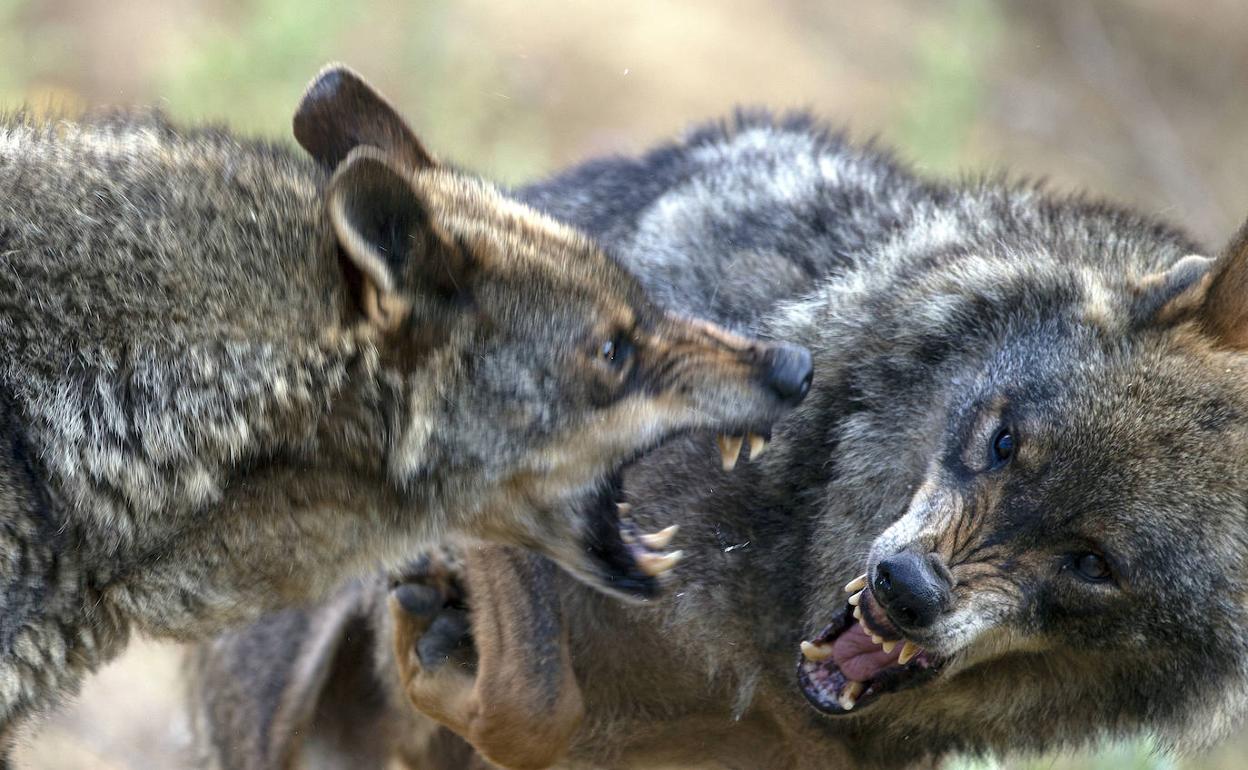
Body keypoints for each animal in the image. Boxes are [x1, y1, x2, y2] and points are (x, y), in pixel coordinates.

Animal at [189, 109, 1248, 768]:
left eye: (1093, 564)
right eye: (1001, 443)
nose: (906, 591)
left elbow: (541, 715)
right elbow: (536, 698)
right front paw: (442, 648)